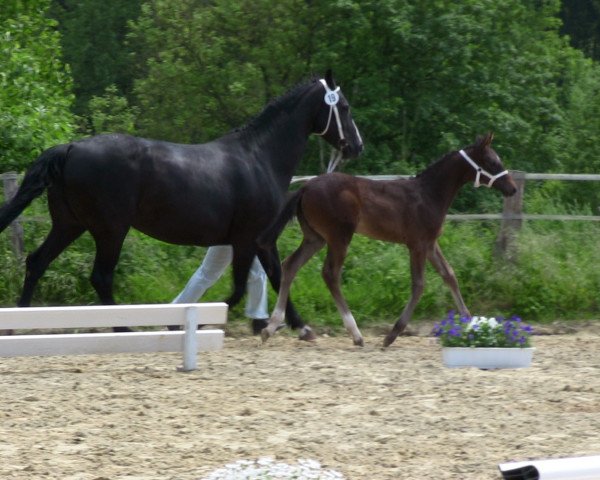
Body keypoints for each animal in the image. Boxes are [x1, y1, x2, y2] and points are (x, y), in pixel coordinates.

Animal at [0, 70, 364, 338]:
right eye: (344, 107)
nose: (356, 146)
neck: (259, 158)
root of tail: (71, 147)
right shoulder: (249, 238)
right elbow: (242, 287)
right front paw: (196, 321)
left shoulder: (256, 239)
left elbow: (273, 276)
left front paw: (297, 326)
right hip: (110, 230)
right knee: (100, 277)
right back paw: (123, 328)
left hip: (69, 224)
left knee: (37, 262)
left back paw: (18, 324)